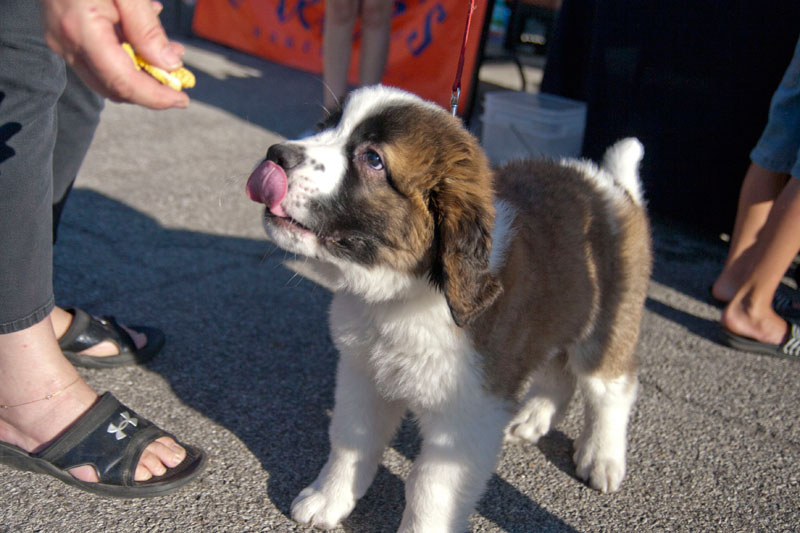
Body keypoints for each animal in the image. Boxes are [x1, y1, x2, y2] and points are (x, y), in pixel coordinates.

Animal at [244, 85, 648, 528]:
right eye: (325, 125)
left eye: (373, 159)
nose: (276, 154)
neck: (408, 293)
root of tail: (612, 187)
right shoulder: (363, 374)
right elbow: (350, 441)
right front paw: (328, 498)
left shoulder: (467, 417)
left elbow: (429, 488)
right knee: (559, 373)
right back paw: (533, 418)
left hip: (606, 326)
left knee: (612, 388)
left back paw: (602, 457)